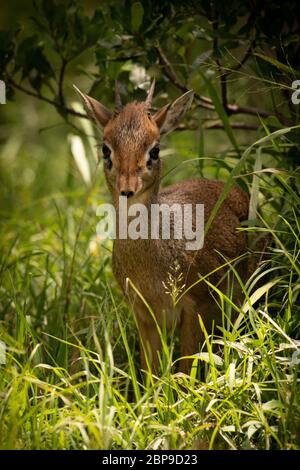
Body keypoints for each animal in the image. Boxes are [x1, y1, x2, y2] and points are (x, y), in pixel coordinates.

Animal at [75, 81, 248, 374]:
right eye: (106, 149)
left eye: (154, 150)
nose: (127, 188)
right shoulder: (143, 315)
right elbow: (149, 374)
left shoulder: (195, 309)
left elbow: (186, 370)